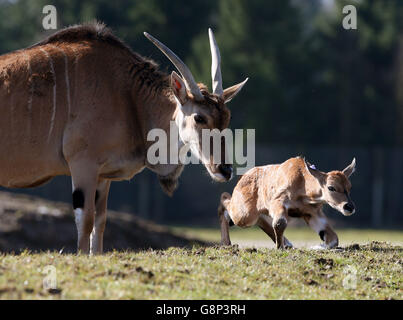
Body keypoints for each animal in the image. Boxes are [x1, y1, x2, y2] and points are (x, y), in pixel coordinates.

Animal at [0, 21, 248, 252]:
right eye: (199, 117)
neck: (128, 95)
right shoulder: (83, 165)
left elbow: (99, 223)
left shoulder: (102, 176)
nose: (225, 170)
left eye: (227, 118)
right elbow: (85, 221)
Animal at [218, 156, 356, 249]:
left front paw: (316, 246)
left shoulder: (312, 213)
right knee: (224, 198)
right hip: (245, 215)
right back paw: (227, 243)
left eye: (349, 187)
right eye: (331, 187)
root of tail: (242, 178)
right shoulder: (278, 202)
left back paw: (288, 244)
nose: (349, 207)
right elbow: (280, 222)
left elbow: (333, 239)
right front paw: (280, 248)